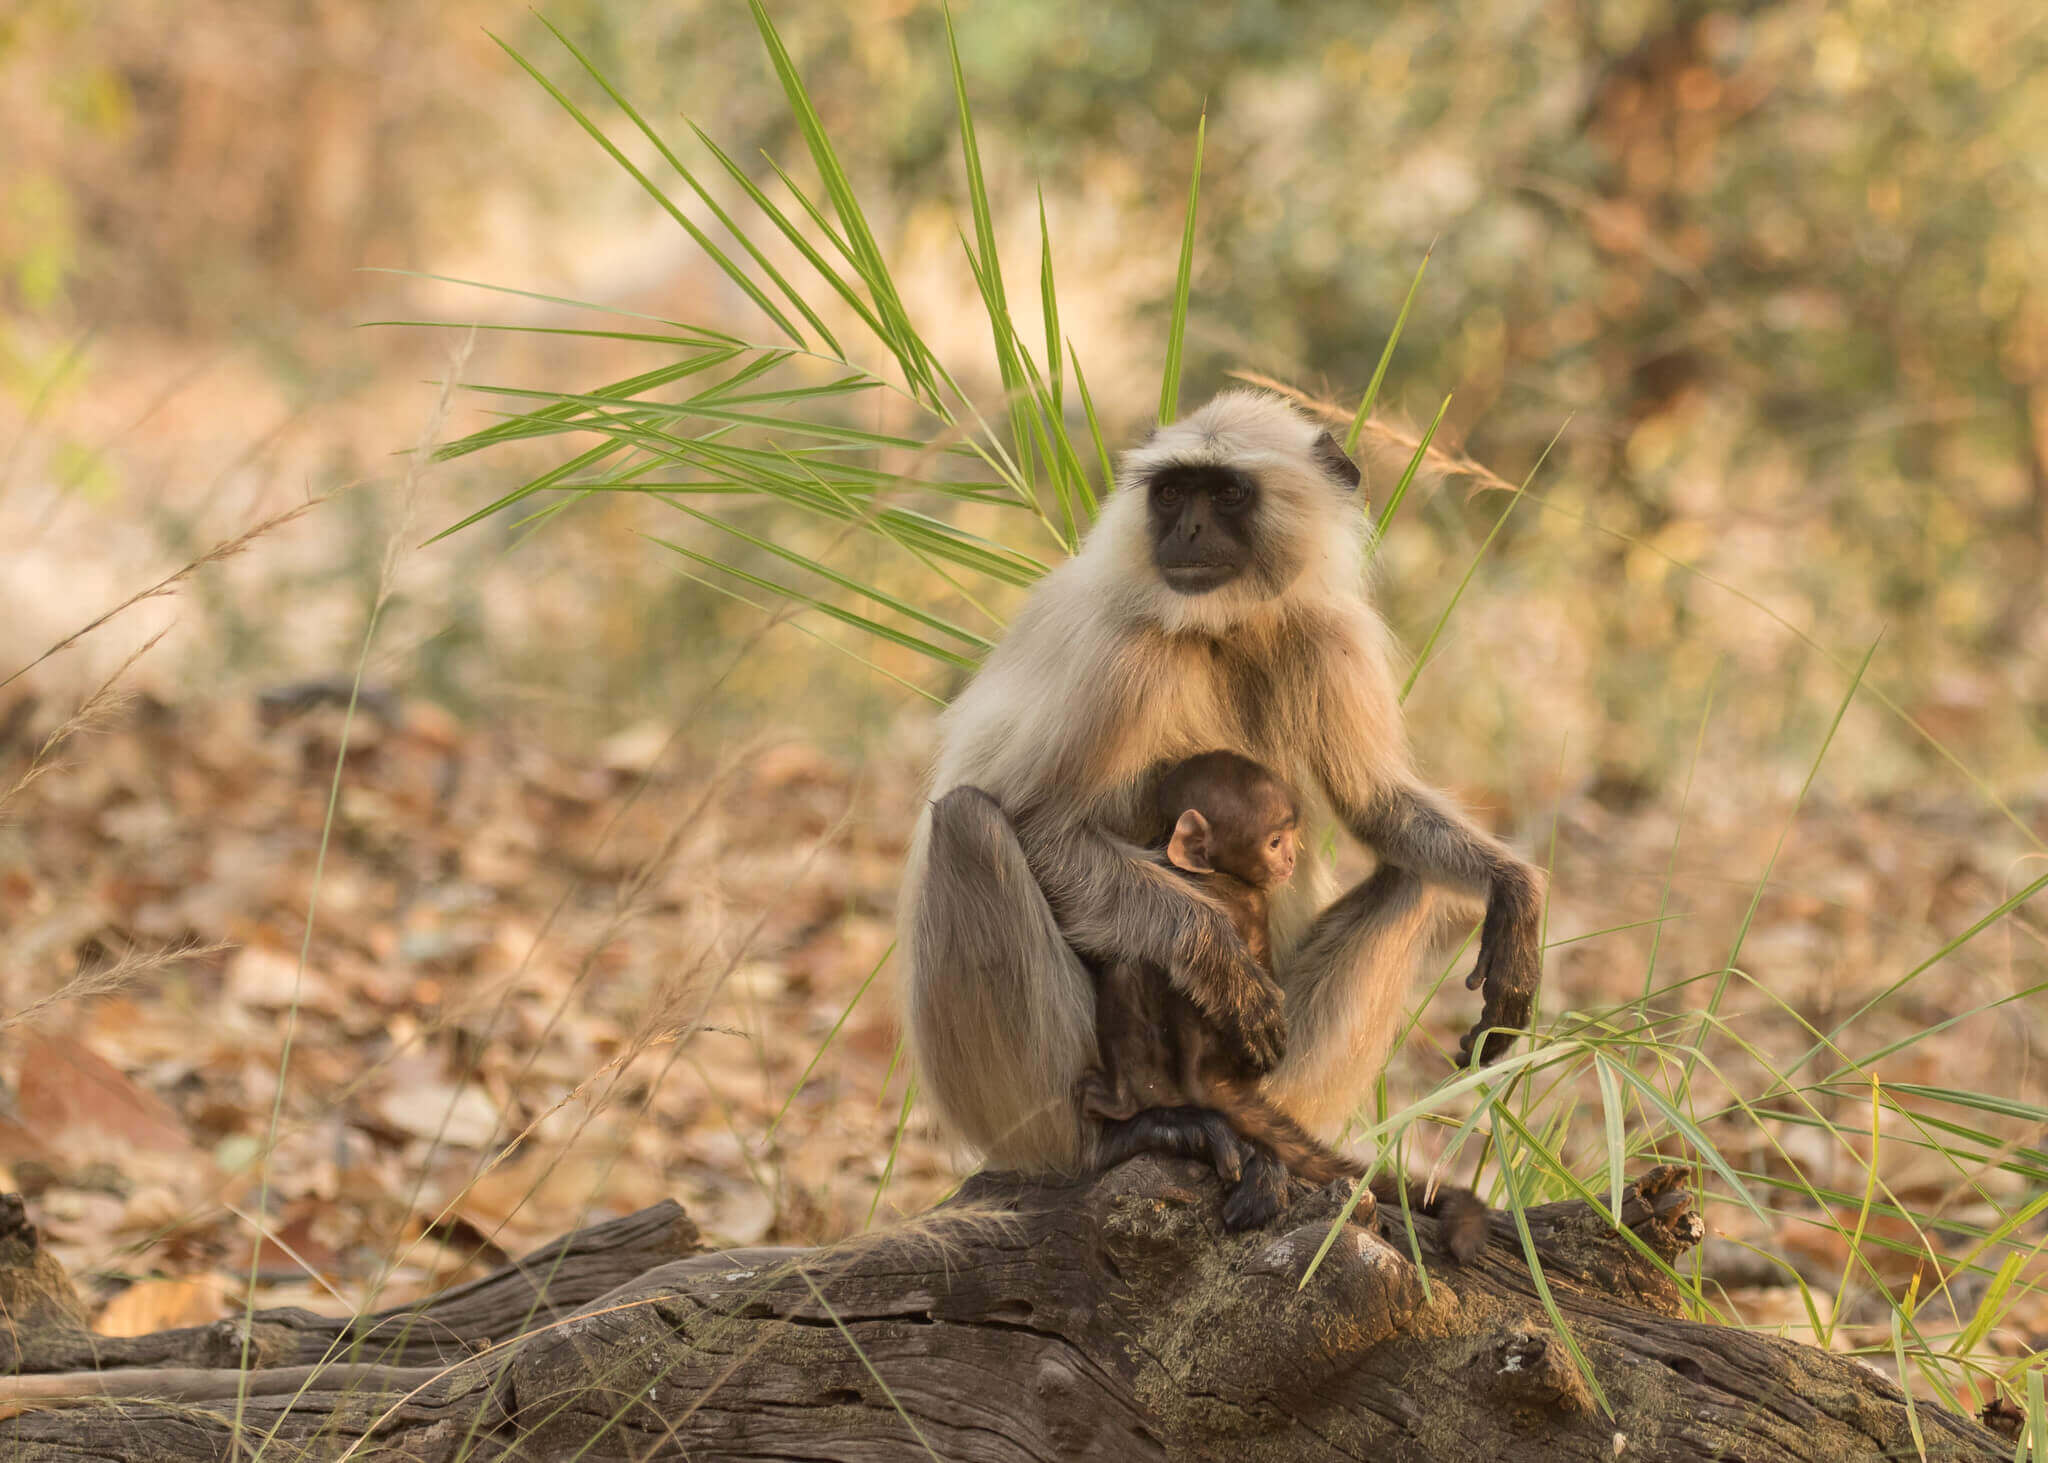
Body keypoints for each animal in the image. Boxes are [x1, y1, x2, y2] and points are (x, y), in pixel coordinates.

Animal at [897, 381, 1540, 1172]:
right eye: (1173, 493)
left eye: (1227, 493)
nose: (1189, 530)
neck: (1225, 624)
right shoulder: (1123, 656)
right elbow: (1036, 827)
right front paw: (1214, 956)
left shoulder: (1334, 634)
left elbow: (1376, 805)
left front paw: (1515, 891)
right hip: (1023, 1110)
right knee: (969, 823)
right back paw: (1126, 1133)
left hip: (1281, 1077)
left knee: (1413, 877)